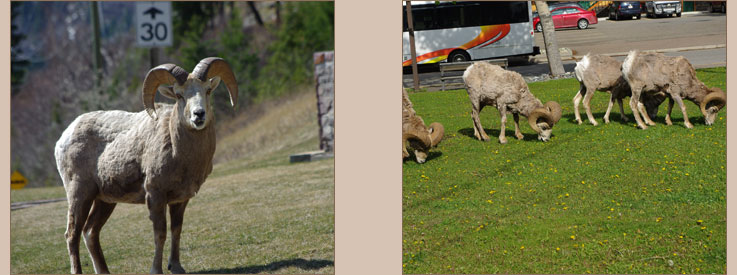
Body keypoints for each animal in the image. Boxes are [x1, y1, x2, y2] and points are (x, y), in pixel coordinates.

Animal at [55, 57, 239, 274]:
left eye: (208, 90)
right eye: (179, 95)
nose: (198, 115)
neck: (181, 154)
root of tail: (64, 137)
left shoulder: (180, 200)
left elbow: (176, 230)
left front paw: (176, 267)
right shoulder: (155, 195)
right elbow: (160, 234)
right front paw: (156, 270)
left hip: (104, 200)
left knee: (90, 231)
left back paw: (104, 271)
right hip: (80, 194)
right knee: (72, 234)